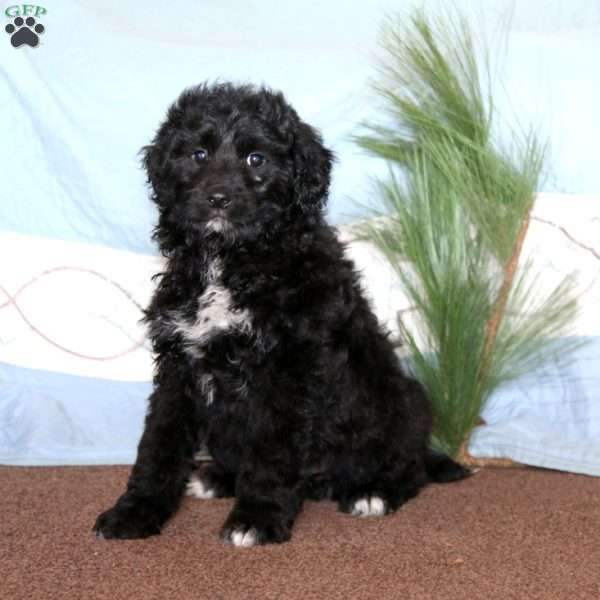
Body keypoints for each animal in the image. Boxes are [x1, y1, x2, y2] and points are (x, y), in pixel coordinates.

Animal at [94, 82, 468, 548]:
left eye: (257, 159)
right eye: (198, 154)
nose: (218, 198)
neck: (231, 261)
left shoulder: (288, 370)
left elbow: (271, 451)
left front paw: (256, 518)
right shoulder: (179, 364)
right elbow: (158, 443)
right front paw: (134, 512)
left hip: (402, 403)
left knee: (410, 467)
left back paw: (374, 492)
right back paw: (216, 477)